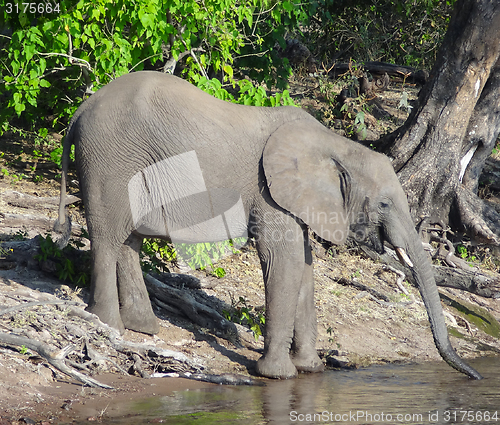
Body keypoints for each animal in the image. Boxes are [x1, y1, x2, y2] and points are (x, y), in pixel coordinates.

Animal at [56, 69, 482, 378]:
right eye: (383, 203)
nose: (474, 376)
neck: (336, 144)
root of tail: (81, 109)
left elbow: (305, 267)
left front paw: (310, 370)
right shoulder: (269, 191)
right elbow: (285, 260)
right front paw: (277, 375)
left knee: (131, 238)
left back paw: (145, 328)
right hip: (109, 158)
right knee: (108, 235)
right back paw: (108, 324)